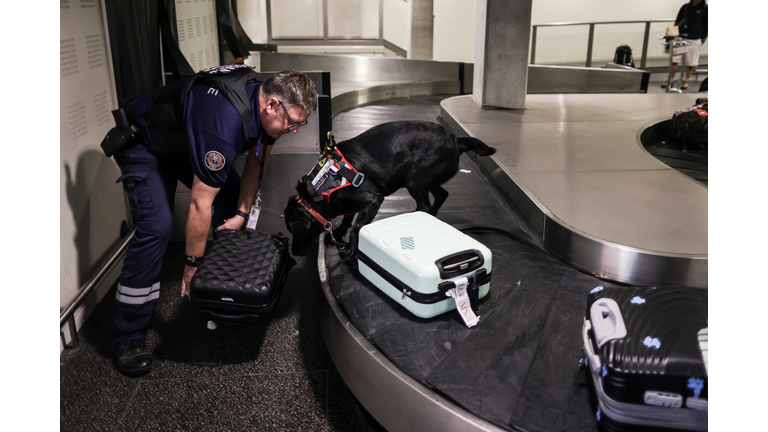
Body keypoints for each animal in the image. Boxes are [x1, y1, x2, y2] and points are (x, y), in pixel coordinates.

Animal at [284, 119, 496, 260]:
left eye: (294, 231)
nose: (293, 253)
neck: (319, 190)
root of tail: (456, 140)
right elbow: (348, 218)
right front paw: (338, 233)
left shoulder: (373, 200)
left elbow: (356, 228)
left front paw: (350, 250)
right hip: (427, 179)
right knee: (442, 195)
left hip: (415, 180)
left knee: (424, 206)